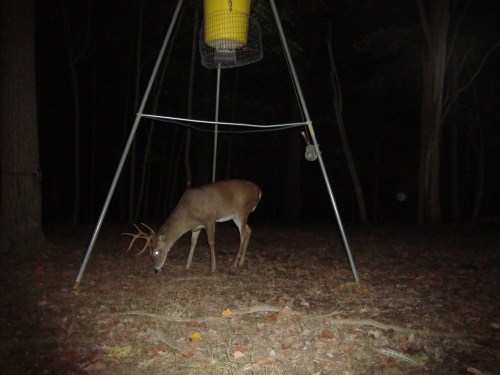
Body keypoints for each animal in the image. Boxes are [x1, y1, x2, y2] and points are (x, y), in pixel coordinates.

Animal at [123, 179, 262, 274]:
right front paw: (187, 265)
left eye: (156, 251)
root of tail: (259, 190)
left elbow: (210, 242)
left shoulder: (210, 218)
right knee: (249, 230)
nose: (156, 269)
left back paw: (235, 263)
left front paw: (213, 267)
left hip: (243, 210)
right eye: (150, 252)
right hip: (236, 216)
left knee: (243, 234)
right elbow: (192, 242)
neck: (188, 215)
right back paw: (241, 261)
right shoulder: (196, 226)